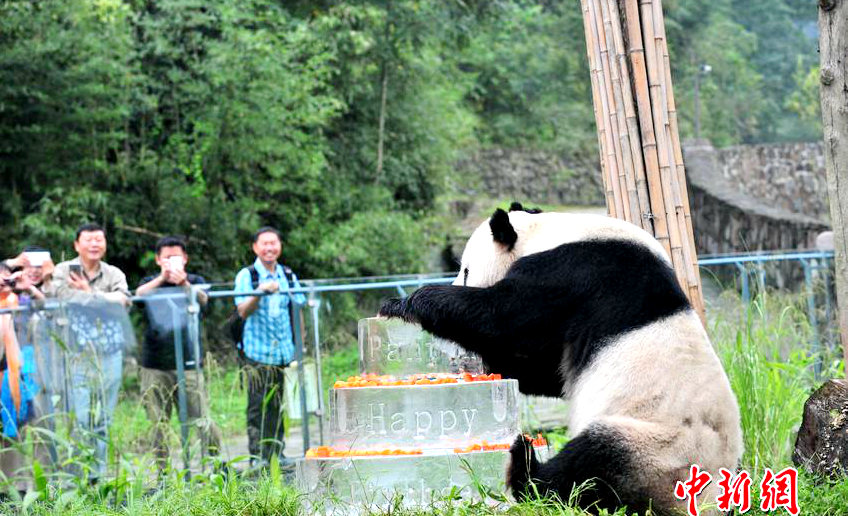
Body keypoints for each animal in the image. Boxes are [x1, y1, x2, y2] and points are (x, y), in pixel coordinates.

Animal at [380, 204, 744, 512]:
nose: (458, 278)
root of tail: (709, 501)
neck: (550, 231)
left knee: (589, 464)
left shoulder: (570, 274)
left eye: (466, 271)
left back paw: (525, 466)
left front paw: (407, 303)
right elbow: (547, 372)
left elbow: (502, 317)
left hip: (658, 450)